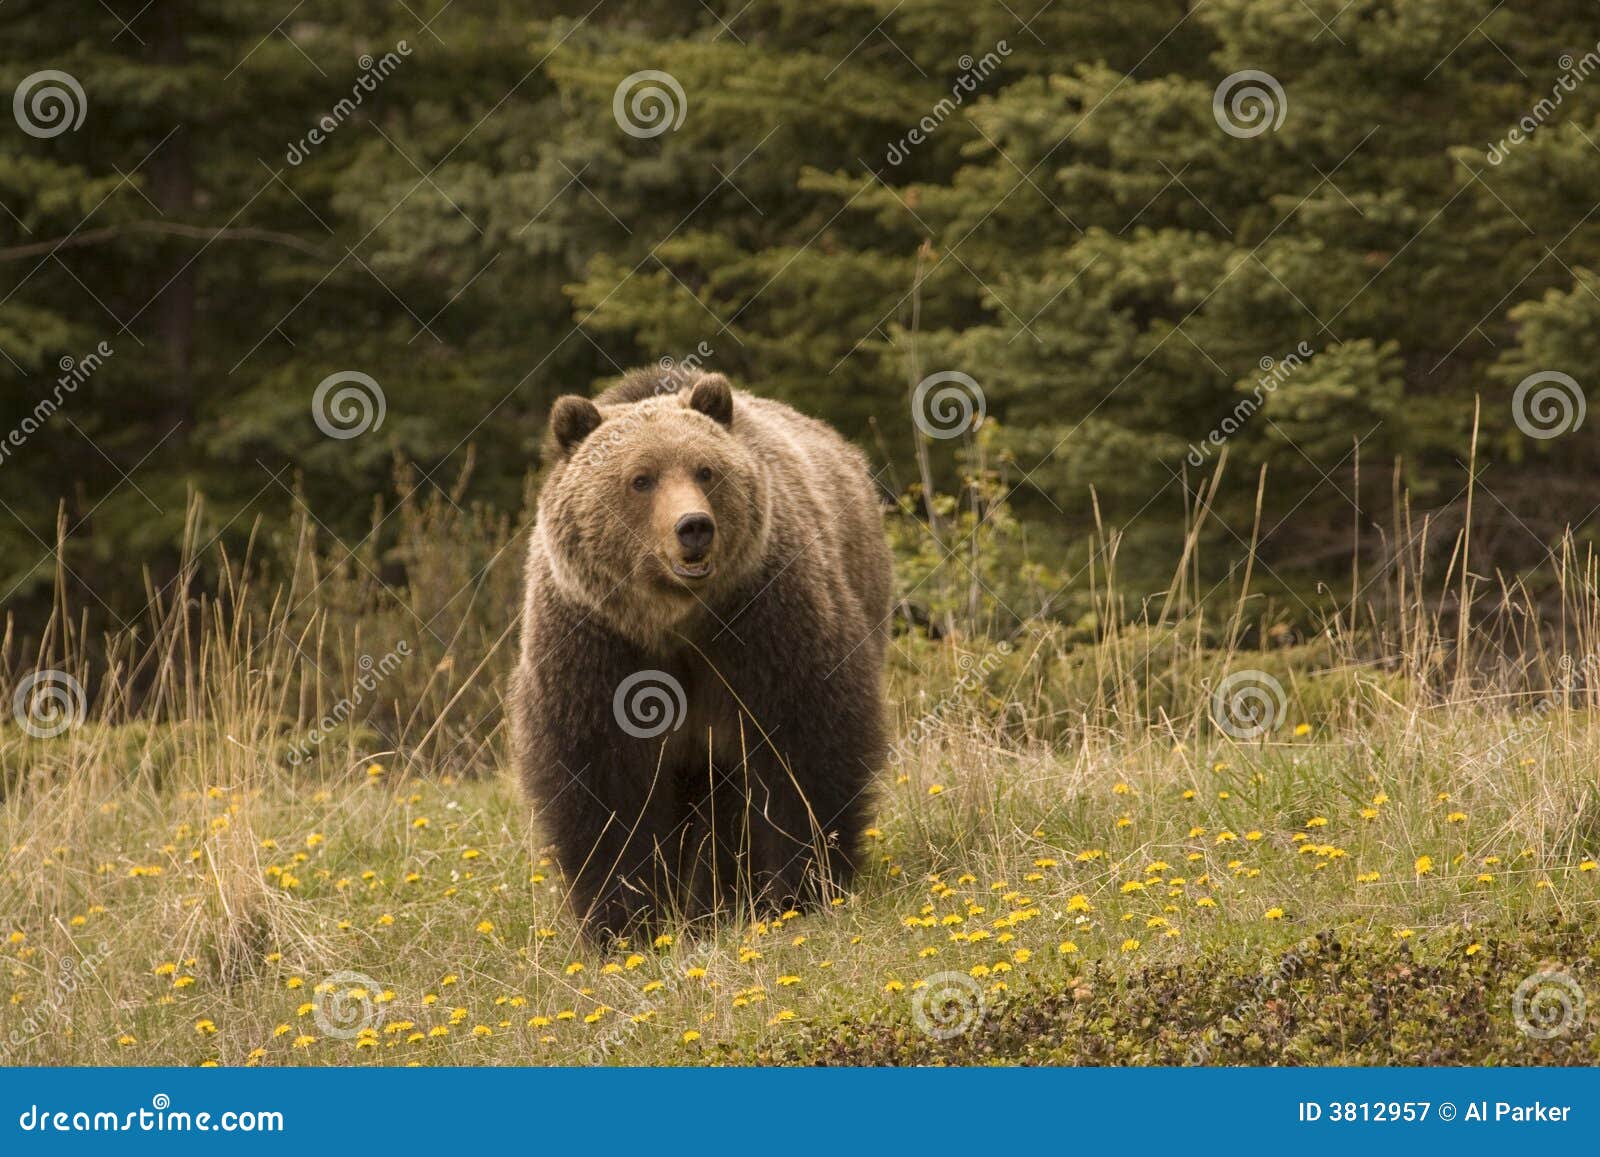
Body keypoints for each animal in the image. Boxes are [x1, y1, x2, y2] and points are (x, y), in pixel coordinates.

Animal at [508, 366, 896, 934]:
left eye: (705, 470)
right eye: (641, 478)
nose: (694, 527)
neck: (675, 621)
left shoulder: (762, 623)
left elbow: (804, 750)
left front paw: (800, 889)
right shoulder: (597, 646)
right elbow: (604, 785)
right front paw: (624, 920)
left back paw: (724, 899)